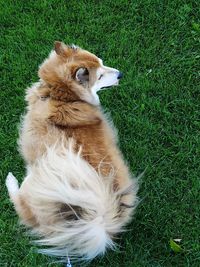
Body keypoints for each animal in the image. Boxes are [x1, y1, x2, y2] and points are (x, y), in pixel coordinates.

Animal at [5, 41, 138, 262]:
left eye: (102, 64)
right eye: (100, 74)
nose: (121, 74)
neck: (60, 95)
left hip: (38, 183)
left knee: (20, 203)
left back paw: (10, 180)